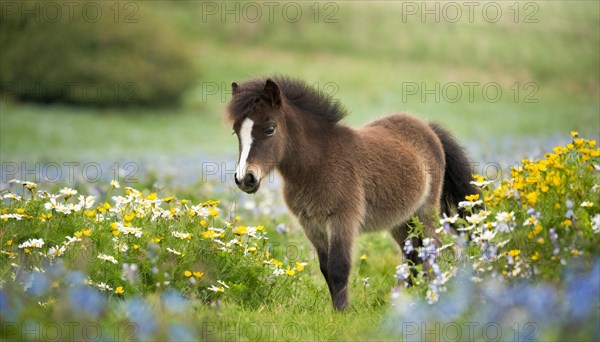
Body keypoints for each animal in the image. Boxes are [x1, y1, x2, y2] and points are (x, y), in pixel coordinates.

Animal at [227, 76, 476, 312]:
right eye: (236, 131)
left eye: (270, 129)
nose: (245, 179)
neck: (317, 164)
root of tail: (427, 127)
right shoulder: (312, 225)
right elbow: (326, 268)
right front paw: (338, 309)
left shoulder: (342, 219)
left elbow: (339, 267)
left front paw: (342, 312)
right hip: (401, 220)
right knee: (413, 254)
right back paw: (401, 299)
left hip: (426, 210)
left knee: (432, 249)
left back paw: (429, 294)